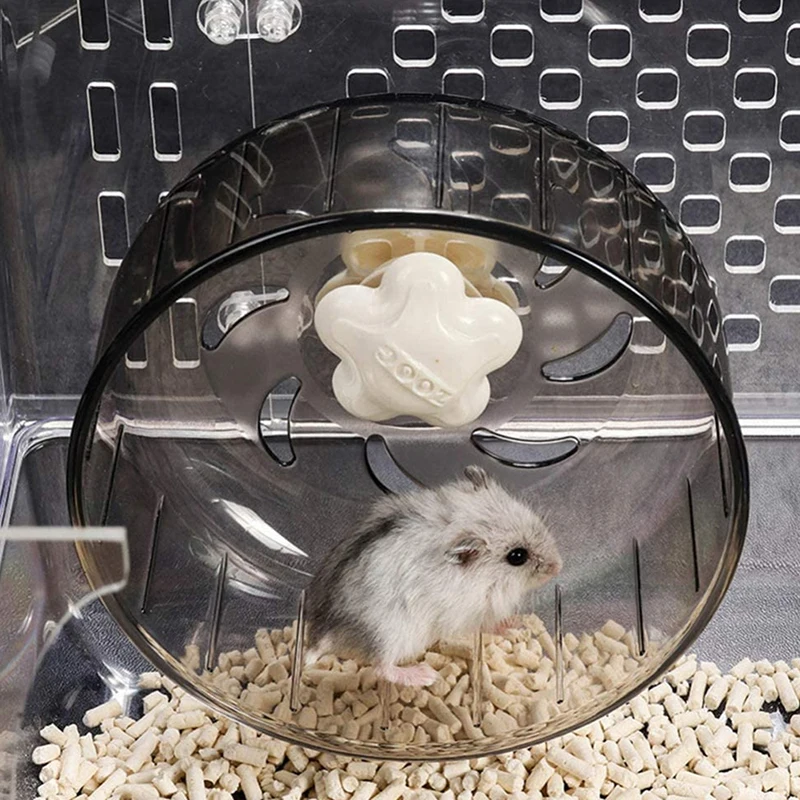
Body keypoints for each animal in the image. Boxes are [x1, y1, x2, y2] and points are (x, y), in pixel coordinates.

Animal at [305, 466, 562, 687]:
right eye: (517, 556)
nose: (559, 566)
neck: (486, 577)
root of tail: (322, 633)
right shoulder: (471, 612)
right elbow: (489, 624)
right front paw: (512, 626)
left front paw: (519, 624)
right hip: (389, 634)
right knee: (381, 667)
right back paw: (425, 676)